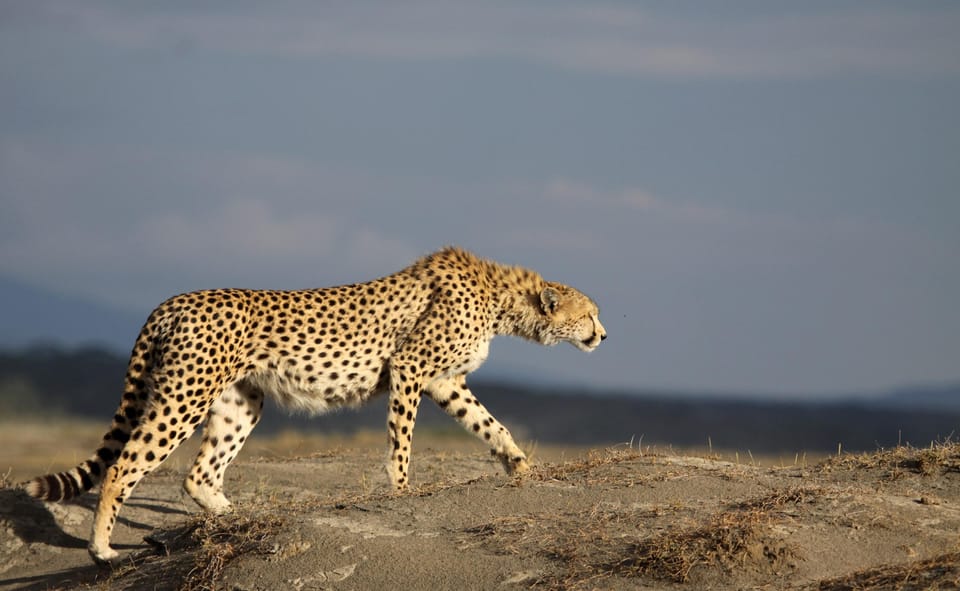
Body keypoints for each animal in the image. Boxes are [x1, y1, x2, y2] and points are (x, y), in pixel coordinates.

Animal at [24, 246, 608, 564]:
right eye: (590, 314)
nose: (604, 335)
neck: (502, 300)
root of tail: (172, 301)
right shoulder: (411, 369)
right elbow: (402, 441)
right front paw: (402, 491)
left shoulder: (445, 382)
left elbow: (490, 424)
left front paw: (519, 464)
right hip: (185, 397)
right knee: (122, 466)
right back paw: (102, 550)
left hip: (241, 403)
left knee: (198, 473)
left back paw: (235, 515)